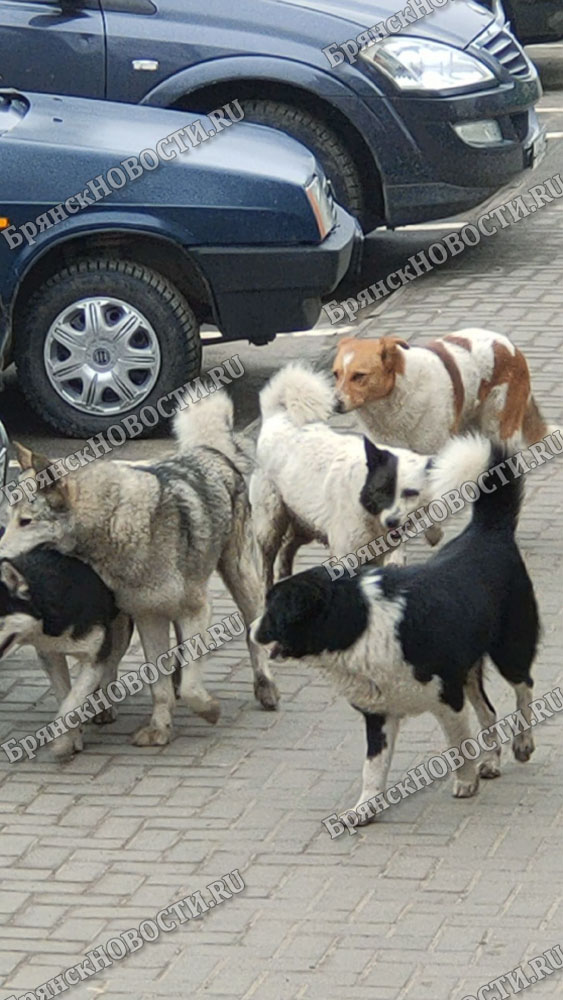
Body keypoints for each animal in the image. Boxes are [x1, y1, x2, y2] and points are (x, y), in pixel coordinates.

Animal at [0, 552, 132, 752]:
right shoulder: (50, 656)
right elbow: (64, 696)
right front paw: (72, 736)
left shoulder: (95, 654)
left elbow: (71, 701)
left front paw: (62, 742)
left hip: (122, 624)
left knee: (112, 664)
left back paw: (105, 706)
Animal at [253, 438, 540, 820]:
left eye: (273, 610)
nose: (251, 627)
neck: (360, 624)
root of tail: (485, 531)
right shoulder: (380, 714)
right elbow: (373, 767)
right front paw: (364, 807)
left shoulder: (447, 699)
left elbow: (458, 744)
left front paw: (465, 782)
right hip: (468, 669)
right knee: (488, 710)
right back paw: (492, 761)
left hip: (510, 648)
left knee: (524, 689)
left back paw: (523, 743)